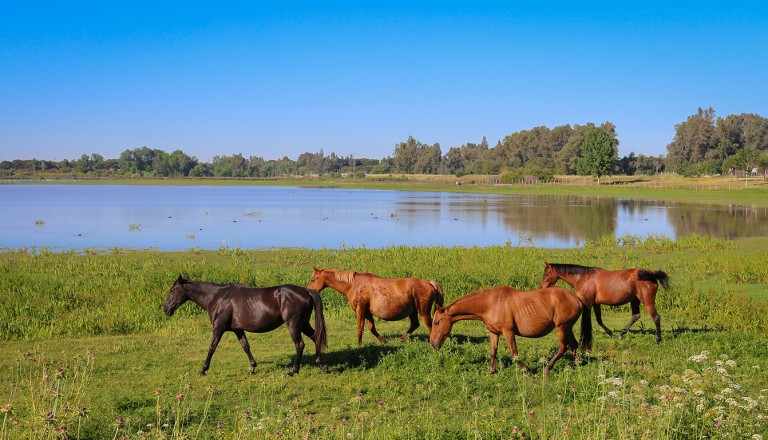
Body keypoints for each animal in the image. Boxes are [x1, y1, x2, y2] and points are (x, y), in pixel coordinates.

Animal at [165, 276, 328, 374]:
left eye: (172, 290)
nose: (166, 309)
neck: (217, 298)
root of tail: (306, 290)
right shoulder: (238, 330)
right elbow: (245, 346)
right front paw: (252, 367)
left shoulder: (219, 328)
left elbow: (212, 347)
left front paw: (203, 369)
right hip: (303, 324)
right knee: (316, 337)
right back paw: (321, 365)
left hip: (294, 325)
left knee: (300, 344)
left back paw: (294, 370)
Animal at [306, 266, 444, 346]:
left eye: (313, 279)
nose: (308, 291)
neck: (354, 284)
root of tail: (428, 282)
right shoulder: (367, 312)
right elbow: (372, 328)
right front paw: (383, 341)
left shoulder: (360, 309)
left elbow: (360, 328)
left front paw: (359, 344)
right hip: (413, 311)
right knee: (415, 324)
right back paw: (403, 338)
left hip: (423, 311)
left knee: (430, 326)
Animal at [426, 288, 588, 376]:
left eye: (436, 322)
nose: (433, 344)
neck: (490, 304)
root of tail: (576, 297)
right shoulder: (494, 333)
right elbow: (493, 352)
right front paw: (491, 371)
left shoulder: (508, 332)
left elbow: (514, 354)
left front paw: (527, 370)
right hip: (567, 327)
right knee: (573, 345)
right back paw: (576, 365)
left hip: (561, 327)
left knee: (564, 346)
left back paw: (548, 368)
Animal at [536, 262, 668, 346]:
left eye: (546, 274)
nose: (541, 287)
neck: (584, 277)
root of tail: (652, 274)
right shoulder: (596, 304)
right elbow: (599, 320)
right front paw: (610, 333)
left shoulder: (587, 303)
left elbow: (587, 322)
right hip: (635, 300)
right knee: (635, 316)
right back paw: (621, 334)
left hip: (647, 302)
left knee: (656, 317)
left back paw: (658, 340)